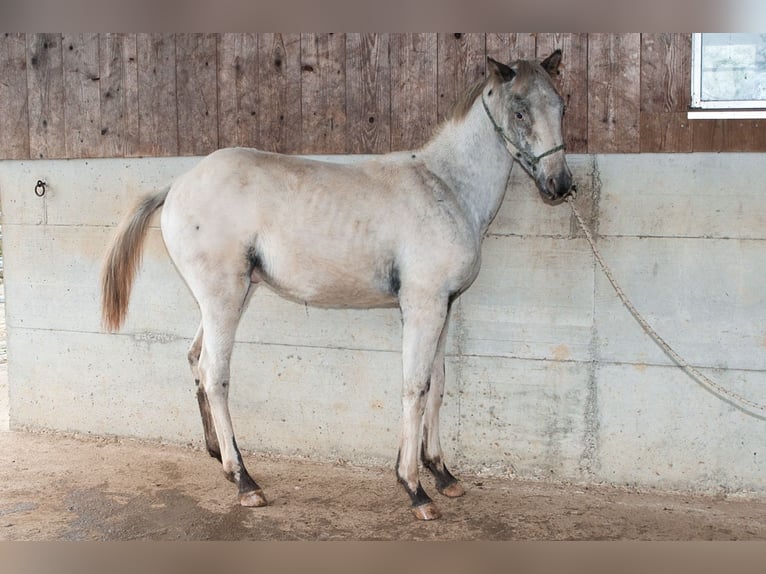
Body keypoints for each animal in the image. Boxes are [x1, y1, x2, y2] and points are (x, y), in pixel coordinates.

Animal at [100, 53, 568, 520]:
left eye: (561, 106)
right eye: (520, 110)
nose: (560, 185)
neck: (446, 188)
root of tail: (177, 185)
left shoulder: (445, 307)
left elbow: (436, 384)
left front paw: (443, 475)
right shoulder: (423, 306)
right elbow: (414, 388)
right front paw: (414, 488)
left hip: (232, 297)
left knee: (196, 358)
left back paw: (220, 457)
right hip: (223, 298)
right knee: (215, 374)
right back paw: (245, 481)